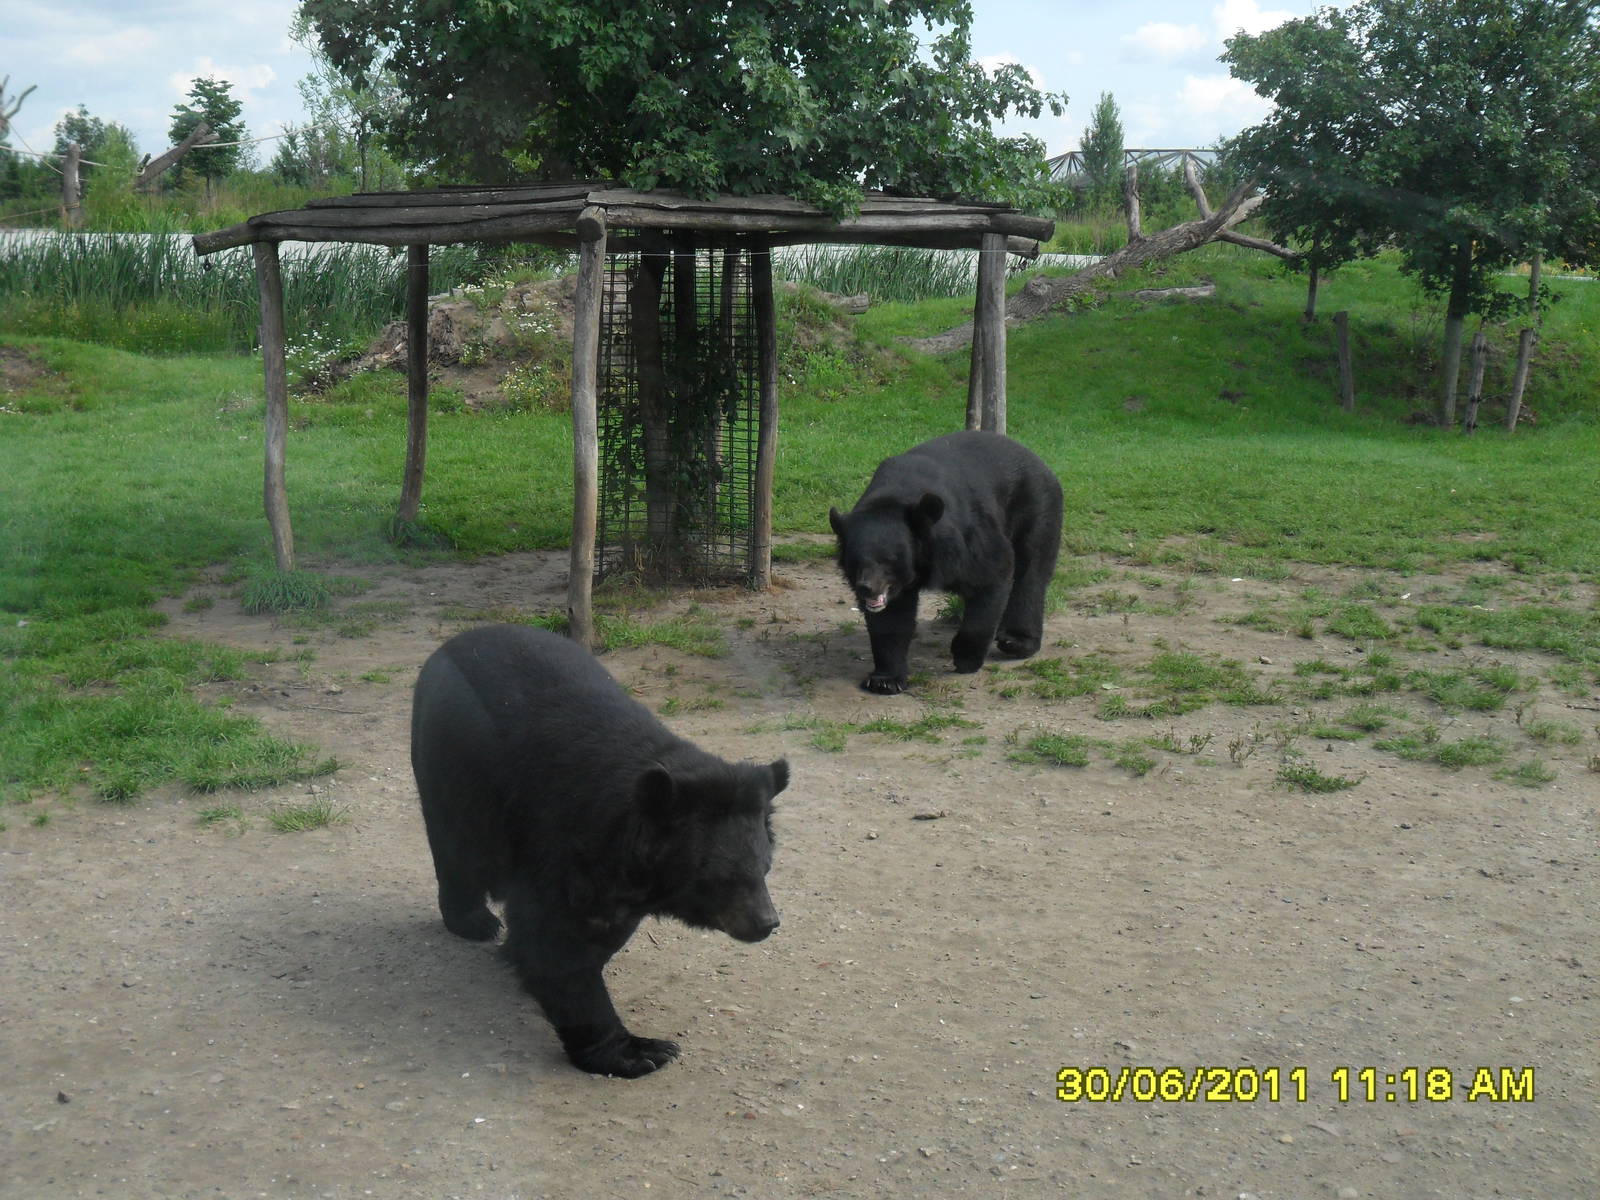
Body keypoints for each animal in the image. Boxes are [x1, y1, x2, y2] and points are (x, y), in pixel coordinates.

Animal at [410, 624, 789, 1078]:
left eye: (764, 869)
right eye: (720, 879)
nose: (766, 923)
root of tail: (456, 639)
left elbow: (604, 931)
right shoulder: (559, 842)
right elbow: (554, 941)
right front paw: (639, 1051)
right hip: (446, 766)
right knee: (457, 849)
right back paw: (473, 921)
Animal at [828, 430, 1063, 694]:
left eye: (889, 560)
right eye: (855, 561)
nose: (866, 588)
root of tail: (1039, 461)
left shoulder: (966, 540)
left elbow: (992, 574)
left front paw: (965, 658)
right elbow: (890, 620)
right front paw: (884, 680)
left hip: (1037, 508)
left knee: (1031, 573)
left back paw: (1015, 641)